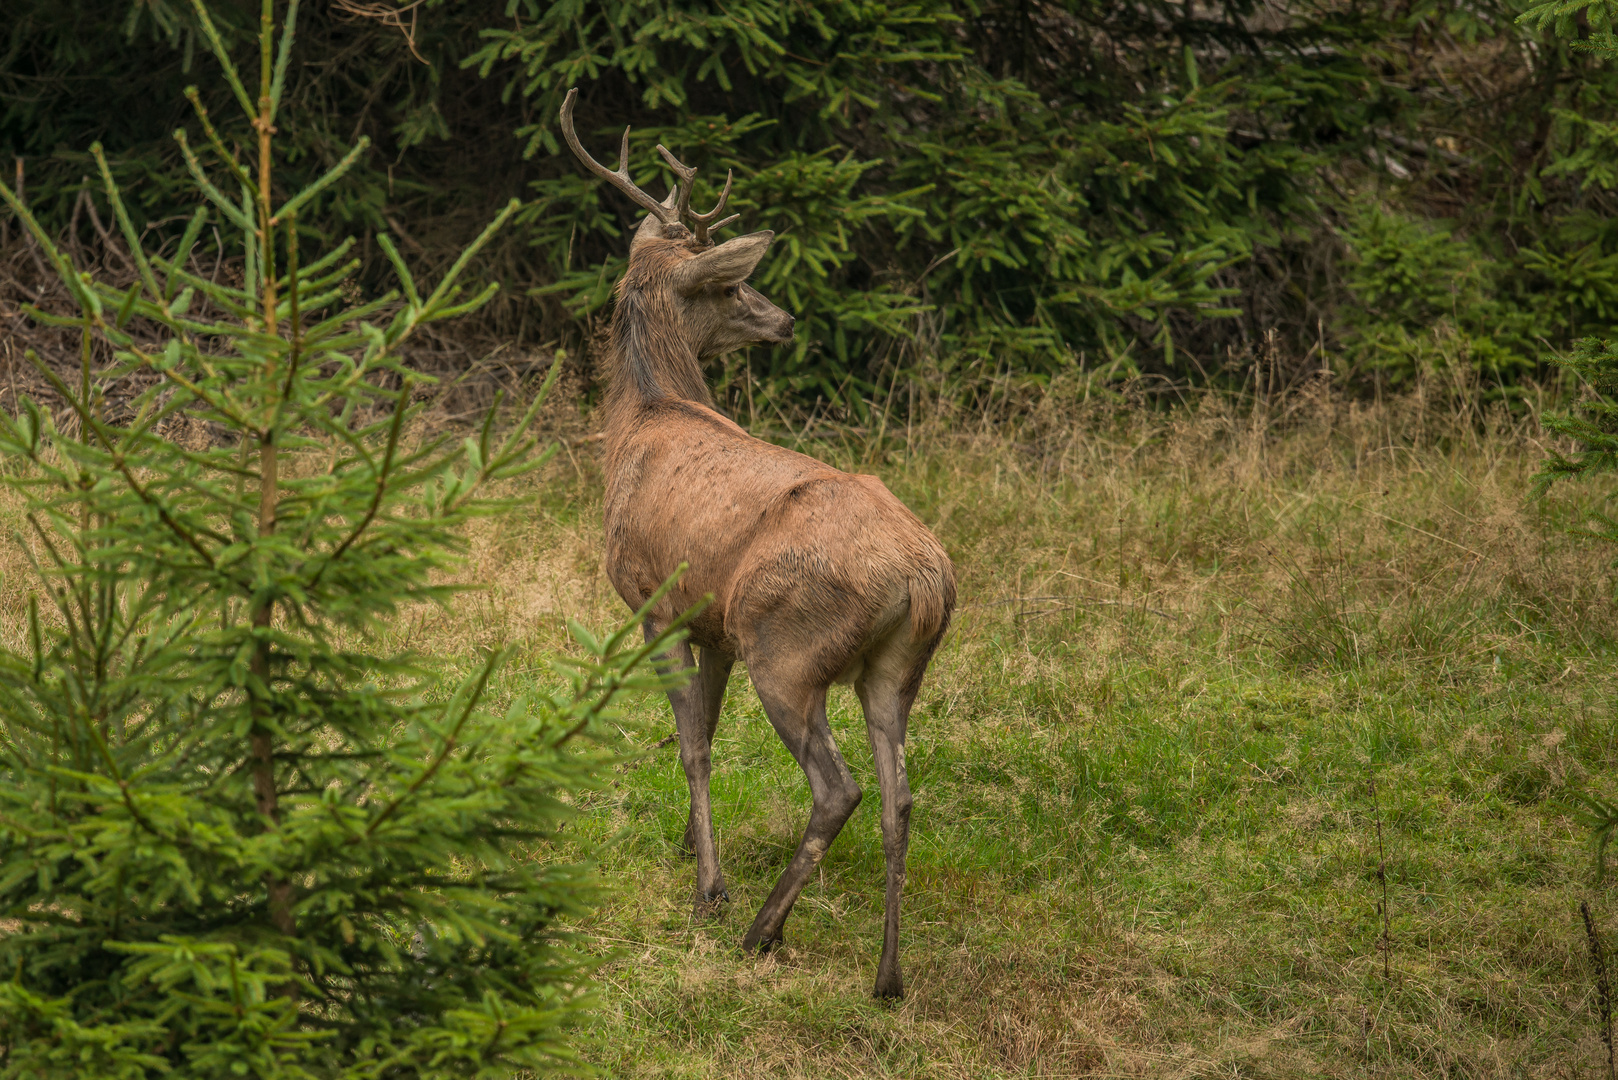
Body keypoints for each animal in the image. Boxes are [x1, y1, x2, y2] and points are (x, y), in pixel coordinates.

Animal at [563, 88, 951, 1003]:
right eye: (736, 284)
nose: (783, 317)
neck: (644, 414)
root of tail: (926, 577)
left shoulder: (655, 601)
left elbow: (691, 740)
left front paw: (708, 884)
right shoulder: (713, 628)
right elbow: (701, 727)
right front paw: (686, 845)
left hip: (790, 648)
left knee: (838, 789)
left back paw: (761, 929)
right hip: (894, 667)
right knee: (900, 798)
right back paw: (887, 976)